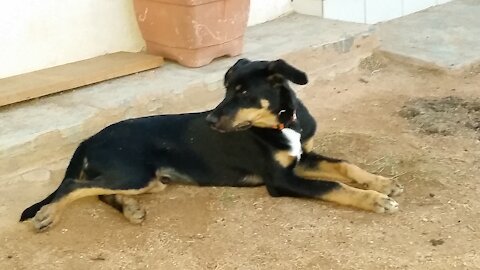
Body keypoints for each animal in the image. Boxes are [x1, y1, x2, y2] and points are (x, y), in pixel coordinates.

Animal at [19, 58, 402, 231]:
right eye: (226, 90)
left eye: (243, 93)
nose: (210, 121)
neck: (282, 124)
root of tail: (90, 137)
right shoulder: (281, 180)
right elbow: (334, 186)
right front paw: (375, 200)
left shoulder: (301, 158)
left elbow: (344, 166)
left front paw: (382, 182)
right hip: (134, 173)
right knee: (74, 184)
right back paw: (48, 213)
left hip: (147, 180)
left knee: (98, 191)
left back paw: (130, 209)